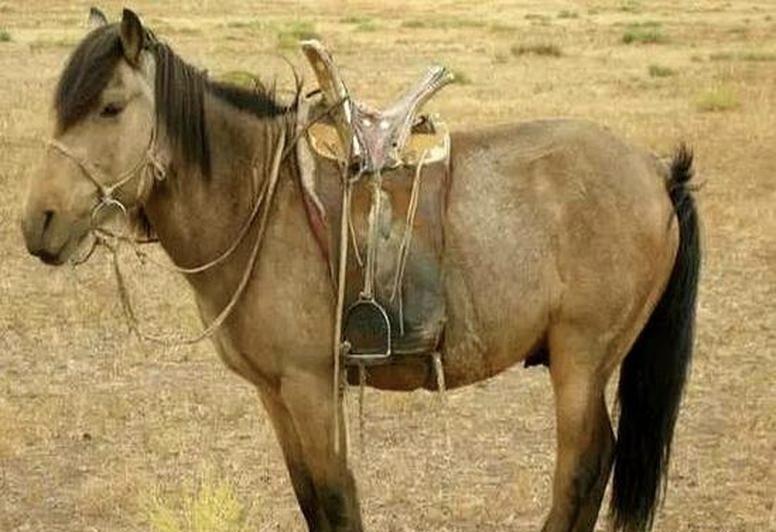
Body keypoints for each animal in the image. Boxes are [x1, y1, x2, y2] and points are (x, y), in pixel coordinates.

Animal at [20, 8, 700, 532]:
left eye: (110, 108)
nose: (37, 222)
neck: (260, 203)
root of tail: (655, 172)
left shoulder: (312, 387)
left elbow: (336, 499)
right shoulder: (275, 393)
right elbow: (311, 499)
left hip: (582, 360)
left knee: (583, 468)